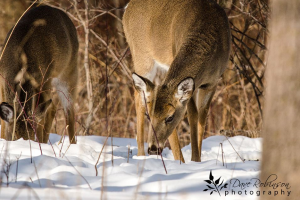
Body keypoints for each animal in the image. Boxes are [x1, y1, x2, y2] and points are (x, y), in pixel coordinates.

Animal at [0, 4, 78, 145]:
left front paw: (40, 142)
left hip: (68, 71)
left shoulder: (43, 79)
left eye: (30, 139)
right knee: (52, 108)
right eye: (13, 137)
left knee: (68, 110)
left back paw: (71, 144)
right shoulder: (2, 82)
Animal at [123, 0, 231, 162]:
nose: (153, 149)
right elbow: (193, 115)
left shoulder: (212, 83)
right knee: (139, 95)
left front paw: (197, 159)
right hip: (142, 56)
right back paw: (141, 155)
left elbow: (202, 117)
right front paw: (194, 159)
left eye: (170, 117)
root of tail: (127, 7)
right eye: (149, 116)